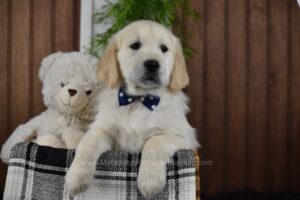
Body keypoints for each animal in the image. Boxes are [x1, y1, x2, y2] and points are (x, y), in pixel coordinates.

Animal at [67, 20, 200, 198]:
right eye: (135, 45)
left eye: (164, 48)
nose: (152, 64)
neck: (139, 100)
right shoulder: (104, 130)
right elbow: (87, 143)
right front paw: (75, 178)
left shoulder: (184, 139)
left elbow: (155, 141)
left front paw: (150, 181)